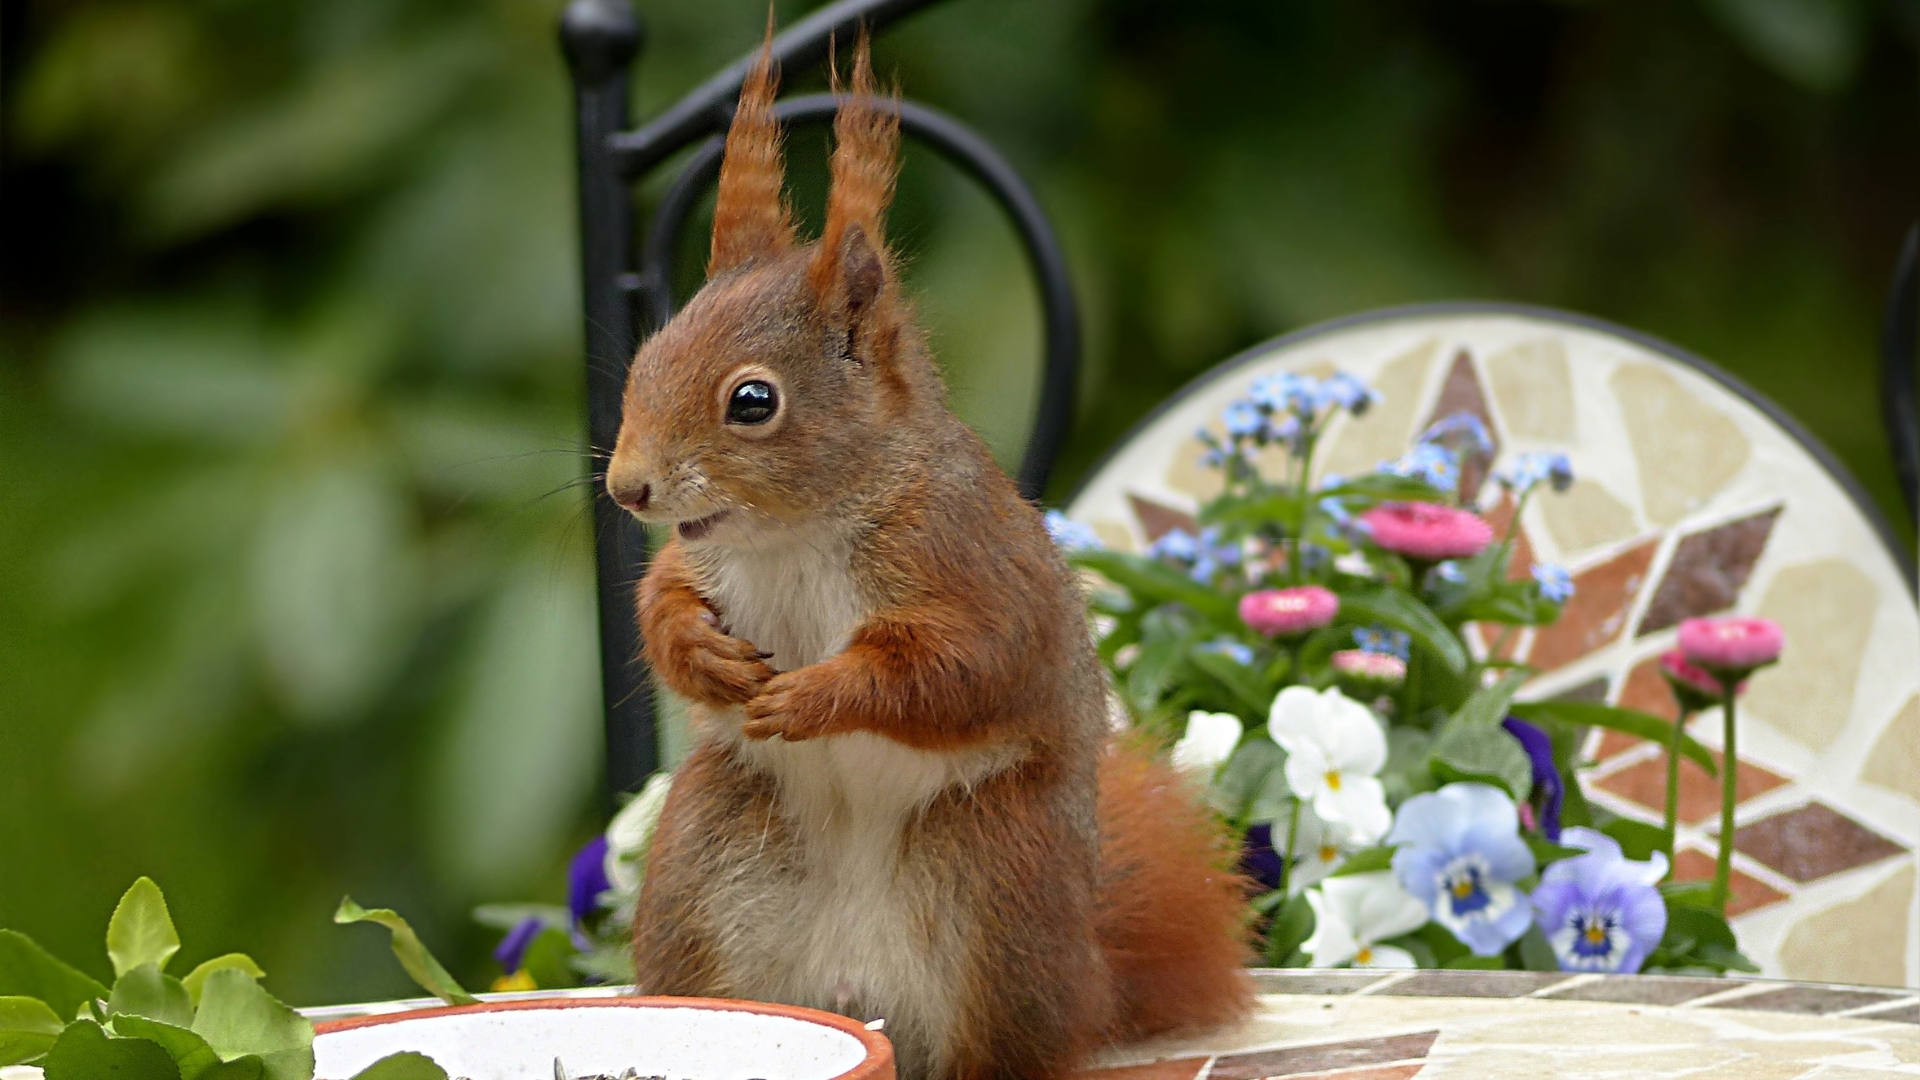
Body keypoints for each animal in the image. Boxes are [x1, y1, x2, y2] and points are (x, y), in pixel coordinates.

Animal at [606, 31, 1251, 1076]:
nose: (629, 489)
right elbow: (661, 600)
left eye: (753, 401)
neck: (794, 533)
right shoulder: (702, 561)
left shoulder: (966, 560)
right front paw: (700, 651)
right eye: (645, 360)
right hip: (704, 869)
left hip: (993, 887)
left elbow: (959, 666)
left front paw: (816, 696)